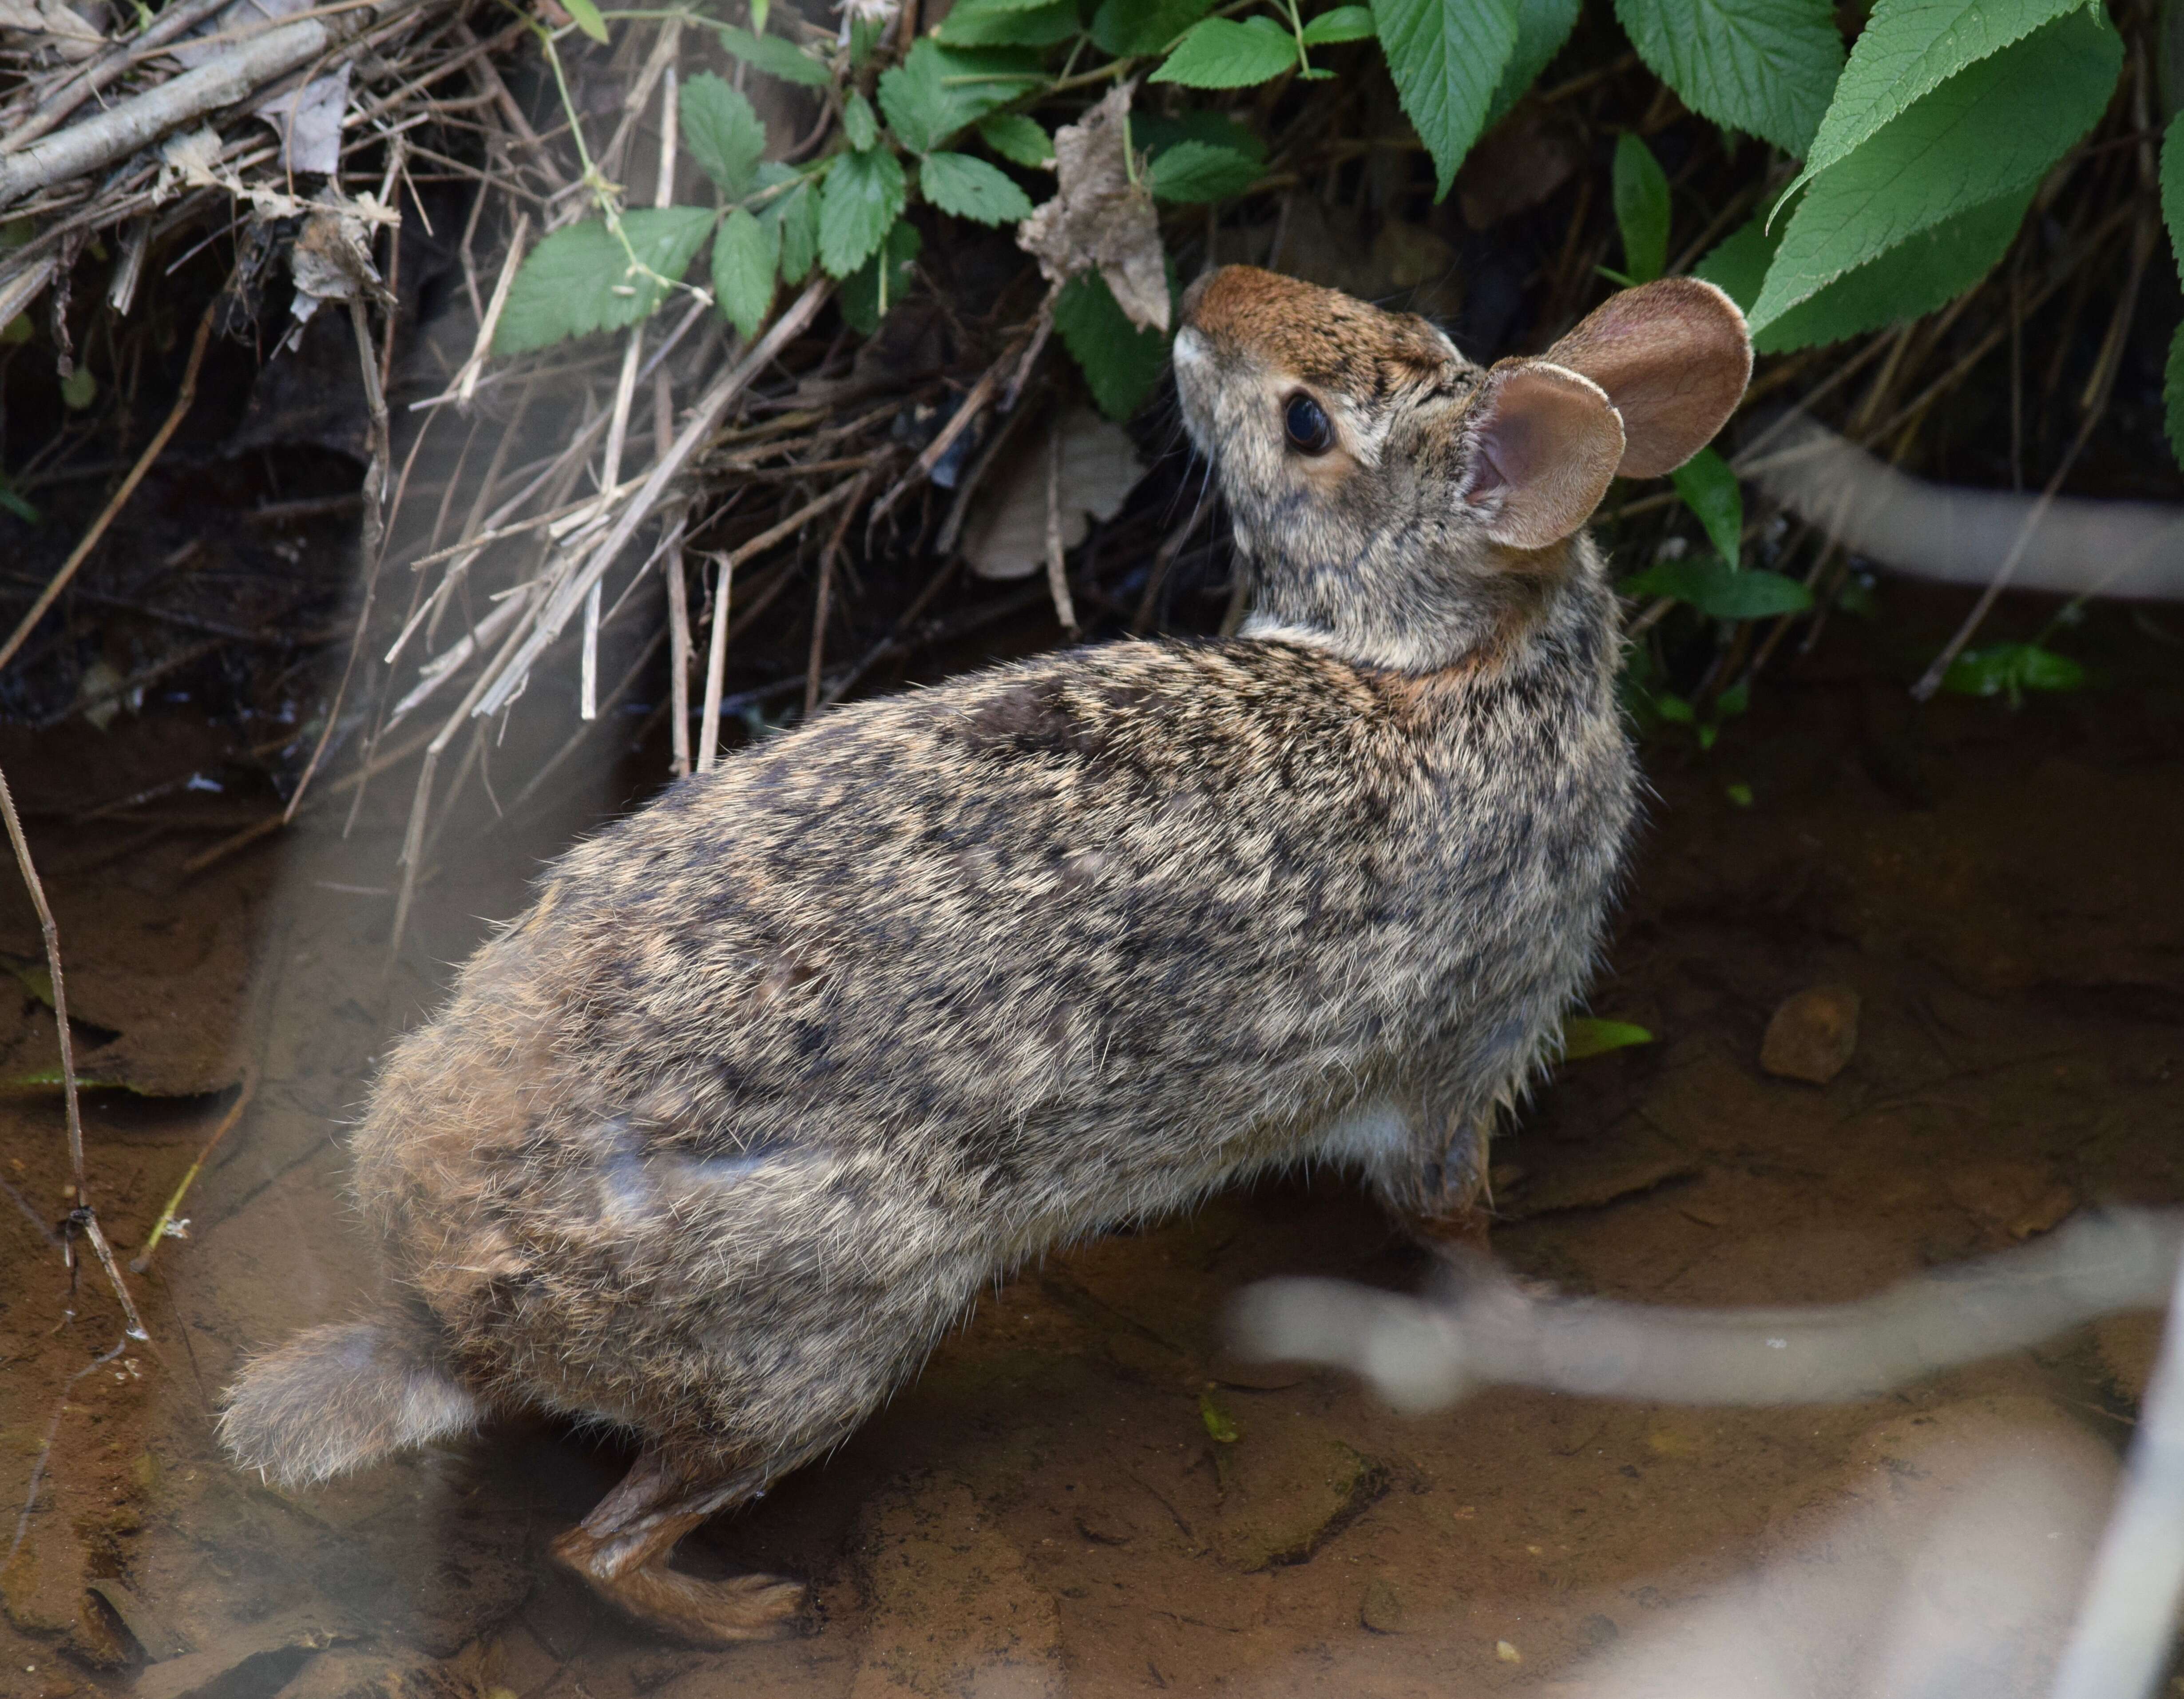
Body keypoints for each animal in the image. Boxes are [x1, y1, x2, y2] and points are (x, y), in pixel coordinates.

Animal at [222, 264, 1747, 1642]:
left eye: (1322, 406)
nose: (1209, 290)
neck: (1457, 663)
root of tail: (442, 1316)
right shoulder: (1460, 1054)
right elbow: (1449, 1222)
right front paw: (1536, 1317)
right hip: (835, 1325)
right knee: (604, 1539)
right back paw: (756, 1614)